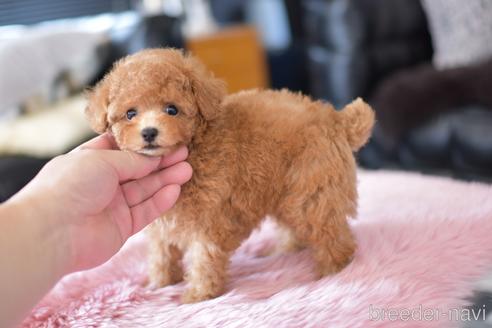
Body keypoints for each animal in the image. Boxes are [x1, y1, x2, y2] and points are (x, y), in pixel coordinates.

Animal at [85, 48, 376, 302]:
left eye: (172, 110)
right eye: (130, 114)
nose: (148, 132)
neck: (196, 143)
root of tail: (336, 119)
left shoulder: (210, 220)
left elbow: (203, 258)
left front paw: (198, 295)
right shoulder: (162, 222)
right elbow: (161, 253)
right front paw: (161, 283)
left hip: (313, 186)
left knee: (327, 230)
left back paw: (333, 270)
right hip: (288, 190)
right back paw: (284, 250)